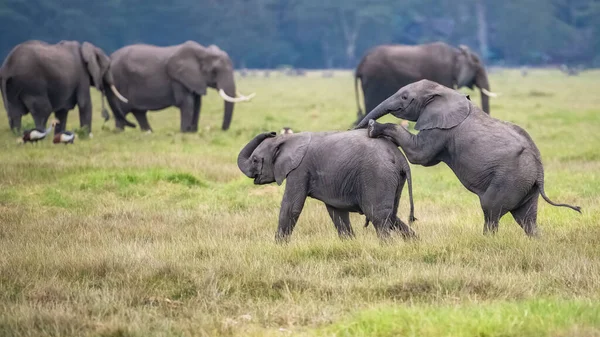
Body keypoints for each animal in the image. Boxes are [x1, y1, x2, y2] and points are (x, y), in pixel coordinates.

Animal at [0, 39, 131, 134]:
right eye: (108, 67)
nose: (106, 117)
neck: (86, 49)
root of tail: (7, 68)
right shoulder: (81, 75)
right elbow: (84, 103)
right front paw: (87, 136)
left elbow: (62, 111)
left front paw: (60, 136)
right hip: (32, 83)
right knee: (43, 110)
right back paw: (40, 135)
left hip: (13, 86)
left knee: (14, 112)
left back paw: (17, 135)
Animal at [106, 41, 254, 133]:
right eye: (214, 71)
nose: (222, 129)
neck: (203, 51)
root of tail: (111, 57)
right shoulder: (178, 79)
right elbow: (187, 103)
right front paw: (185, 132)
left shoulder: (195, 79)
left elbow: (197, 104)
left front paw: (192, 131)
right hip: (120, 81)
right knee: (123, 109)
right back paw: (119, 132)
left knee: (139, 112)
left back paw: (148, 132)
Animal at [237, 129, 414, 242]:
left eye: (255, 160)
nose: (271, 132)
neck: (287, 140)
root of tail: (399, 157)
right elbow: (336, 212)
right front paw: (350, 244)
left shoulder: (299, 169)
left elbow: (291, 207)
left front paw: (278, 247)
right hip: (392, 178)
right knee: (391, 215)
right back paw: (413, 243)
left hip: (377, 175)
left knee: (377, 216)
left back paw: (387, 246)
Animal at [354, 42, 500, 125]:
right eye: (477, 68)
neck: (457, 53)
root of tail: (361, 63)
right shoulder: (443, 74)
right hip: (374, 80)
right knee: (370, 106)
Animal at [356, 79, 580, 236]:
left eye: (404, 97)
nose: (355, 128)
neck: (445, 91)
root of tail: (539, 173)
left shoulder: (442, 129)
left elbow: (419, 155)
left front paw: (374, 128)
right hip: (526, 185)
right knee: (526, 219)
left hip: (511, 178)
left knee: (491, 209)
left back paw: (488, 240)